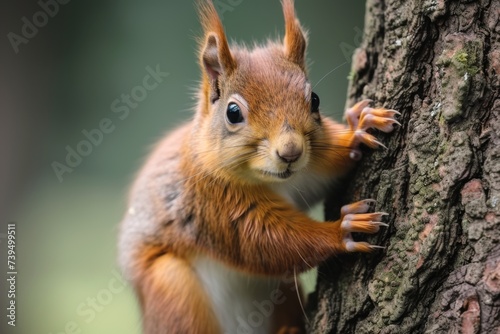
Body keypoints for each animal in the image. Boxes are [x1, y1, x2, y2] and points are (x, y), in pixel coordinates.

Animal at [118, 1, 398, 332]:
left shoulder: (310, 170)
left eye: (315, 100)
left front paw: (358, 129)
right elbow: (265, 241)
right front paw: (344, 229)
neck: (271, 180)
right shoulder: (211, 202)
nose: (290, 152)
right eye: (233, 112)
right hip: (171, 288)